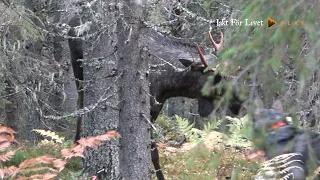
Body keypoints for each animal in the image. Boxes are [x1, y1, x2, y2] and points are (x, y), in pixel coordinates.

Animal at [68, 15, 242, 180]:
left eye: (230, 73)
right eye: (216, 78)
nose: (238, 102)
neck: (169, 85)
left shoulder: (155, 110)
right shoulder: (145, 110)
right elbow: (153, 152)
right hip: (78, 70)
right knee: (80, 102)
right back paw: (77, 145)